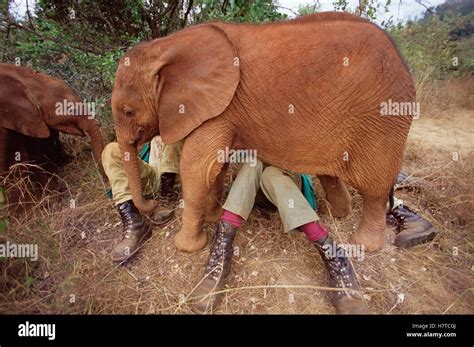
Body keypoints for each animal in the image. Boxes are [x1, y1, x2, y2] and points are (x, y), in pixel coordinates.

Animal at [111, 12, 414, 254]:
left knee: (374, 188)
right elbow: (215, 167)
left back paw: (364, 245)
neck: (164, 45)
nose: (155, 208)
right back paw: (336, 213)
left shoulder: (220, 105)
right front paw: (213, 218)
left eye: (128, 111)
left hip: (381, 117)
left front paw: (187, 247)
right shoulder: (222, 108)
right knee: (330, 175)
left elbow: (197, 167)